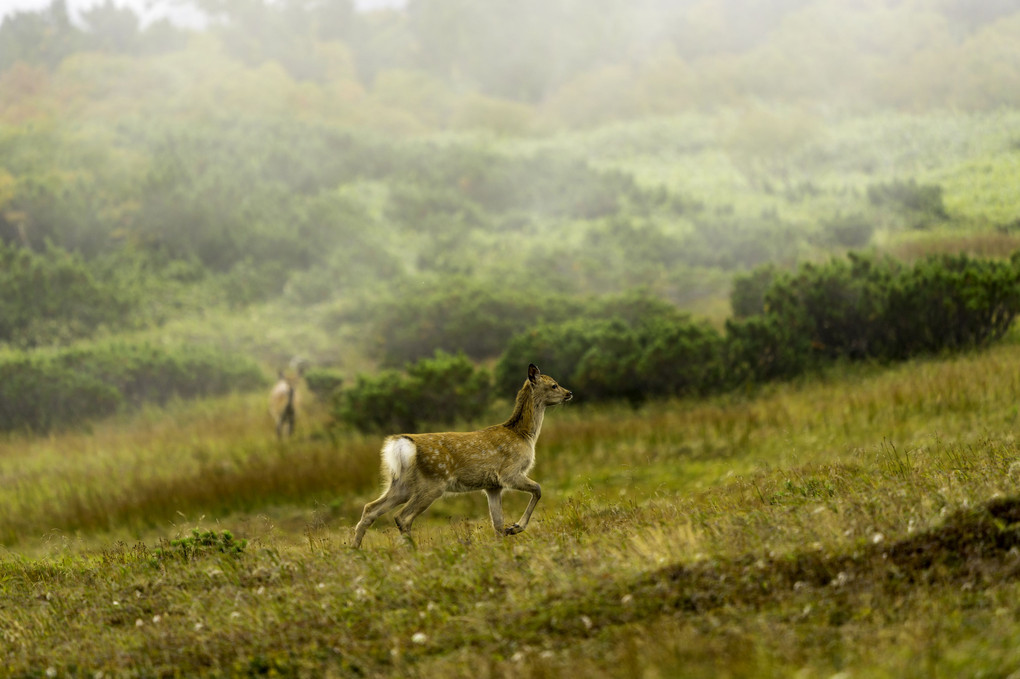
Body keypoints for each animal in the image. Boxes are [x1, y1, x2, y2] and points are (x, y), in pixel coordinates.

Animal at [354, 362, 571, 546]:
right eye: (554, 385)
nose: (569, 393)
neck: (523, 435)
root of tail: (402, 445)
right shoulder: (509, 473)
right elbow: (538, 489)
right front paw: (516, 527)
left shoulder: (492, 486)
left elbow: (497, 524)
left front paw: (505, 540)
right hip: (432, 483)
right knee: (402, 517)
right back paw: (413, 551)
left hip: (402, 484)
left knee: (370, 509)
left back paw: (356, 551)